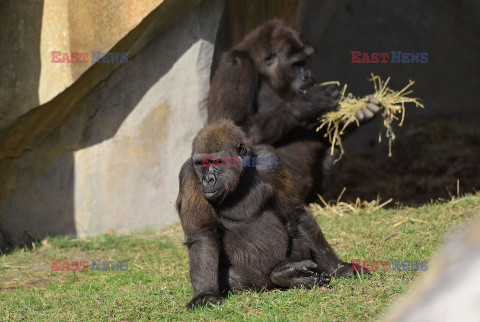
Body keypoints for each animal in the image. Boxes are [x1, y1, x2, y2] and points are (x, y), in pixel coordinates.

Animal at [176, 120, 368, 310]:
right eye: (201, 164)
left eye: (218, 161)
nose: (208, 179)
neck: (241, 172)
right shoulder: (190, 176)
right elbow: (203, 236)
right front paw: (205, 294)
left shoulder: (269, 161)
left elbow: (295, 215)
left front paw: (338, 268)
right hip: (261, 282)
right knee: (235, 277)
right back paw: (284, 276)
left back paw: (288, 273)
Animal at [208, 19, 380, 201]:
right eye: (297, 64)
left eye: (306, 61)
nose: (309, 76)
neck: (264, 70)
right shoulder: (236, 66)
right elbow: (230, 130)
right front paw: (308, 102)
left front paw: (355, 117)